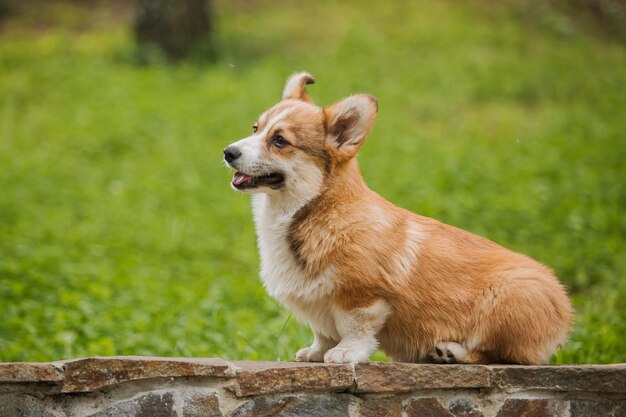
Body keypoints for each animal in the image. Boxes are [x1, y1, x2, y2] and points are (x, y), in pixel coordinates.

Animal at [223, 72, 572, 364]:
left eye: (280, 140)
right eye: (256, 129)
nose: (228, 152)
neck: (313, 209)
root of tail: (566, 312)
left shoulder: (360, 296)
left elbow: (355, 328)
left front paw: (344, 354)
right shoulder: (319, 309)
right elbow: (323, 333)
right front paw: (315, 352)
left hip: (506, 297)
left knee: (501, 355)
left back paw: (451, 352)